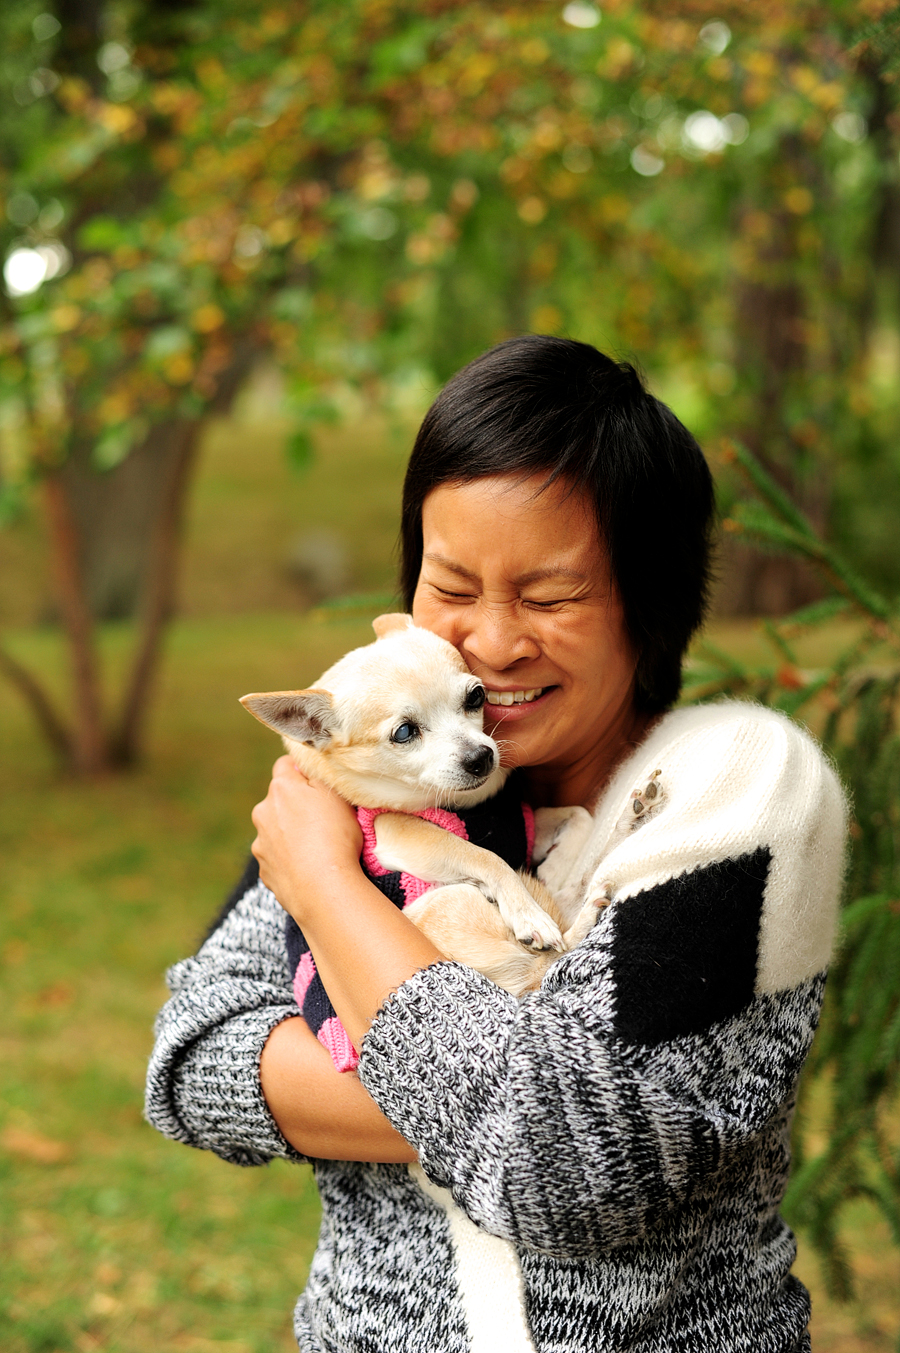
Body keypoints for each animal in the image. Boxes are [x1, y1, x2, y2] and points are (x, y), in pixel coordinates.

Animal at [240, 614, 603, 995]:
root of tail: (526, 974)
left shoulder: (521, 820)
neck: (464, 802)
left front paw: (555, 869)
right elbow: (487, 857)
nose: (481, 757)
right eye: (403, 733)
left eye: (476, 696)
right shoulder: (396, 832)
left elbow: (580, 815)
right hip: (447, 900)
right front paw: (529, 914)